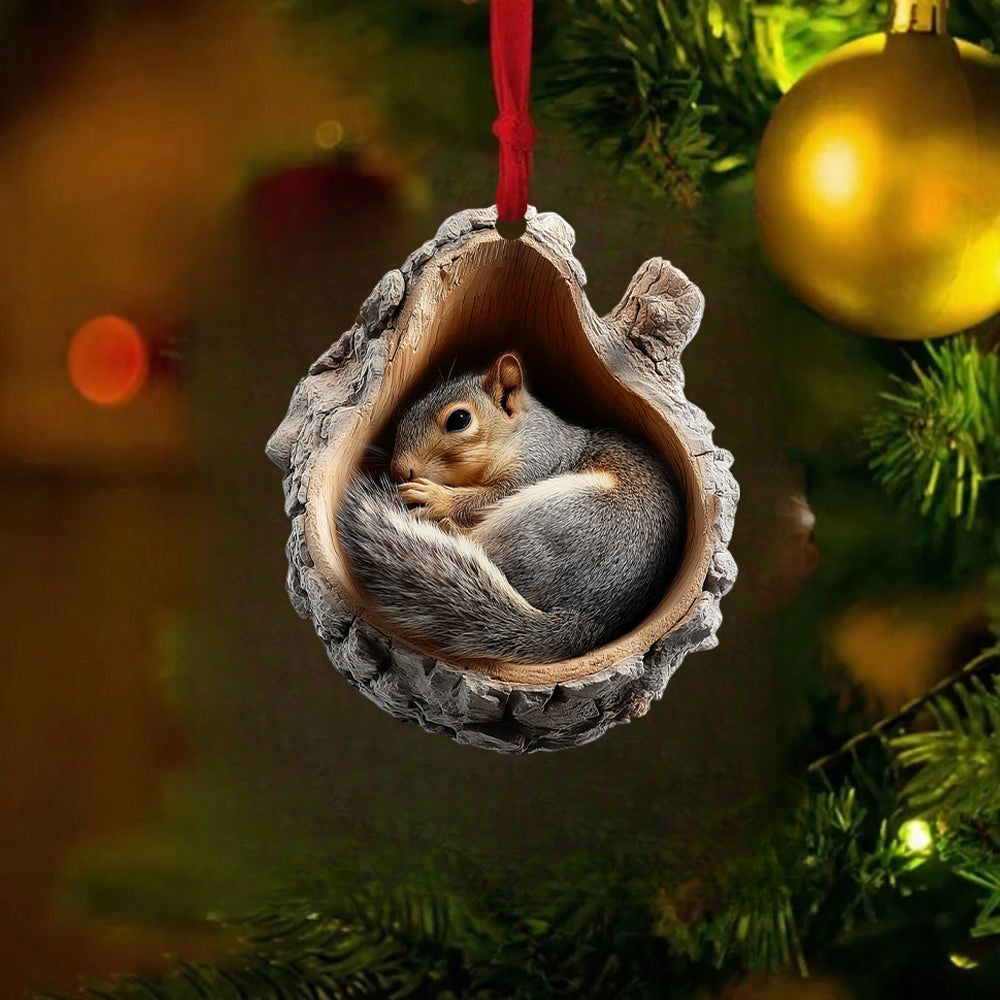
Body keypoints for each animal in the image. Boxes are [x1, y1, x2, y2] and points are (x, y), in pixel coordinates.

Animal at [336, 352, 684, 664]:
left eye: (459, 419)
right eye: (409, 409)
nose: (399, 470)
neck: (517, 435)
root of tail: (587, 617)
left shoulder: (538, 464)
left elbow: (489, 496)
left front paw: (436, 497)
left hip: (553, 515)